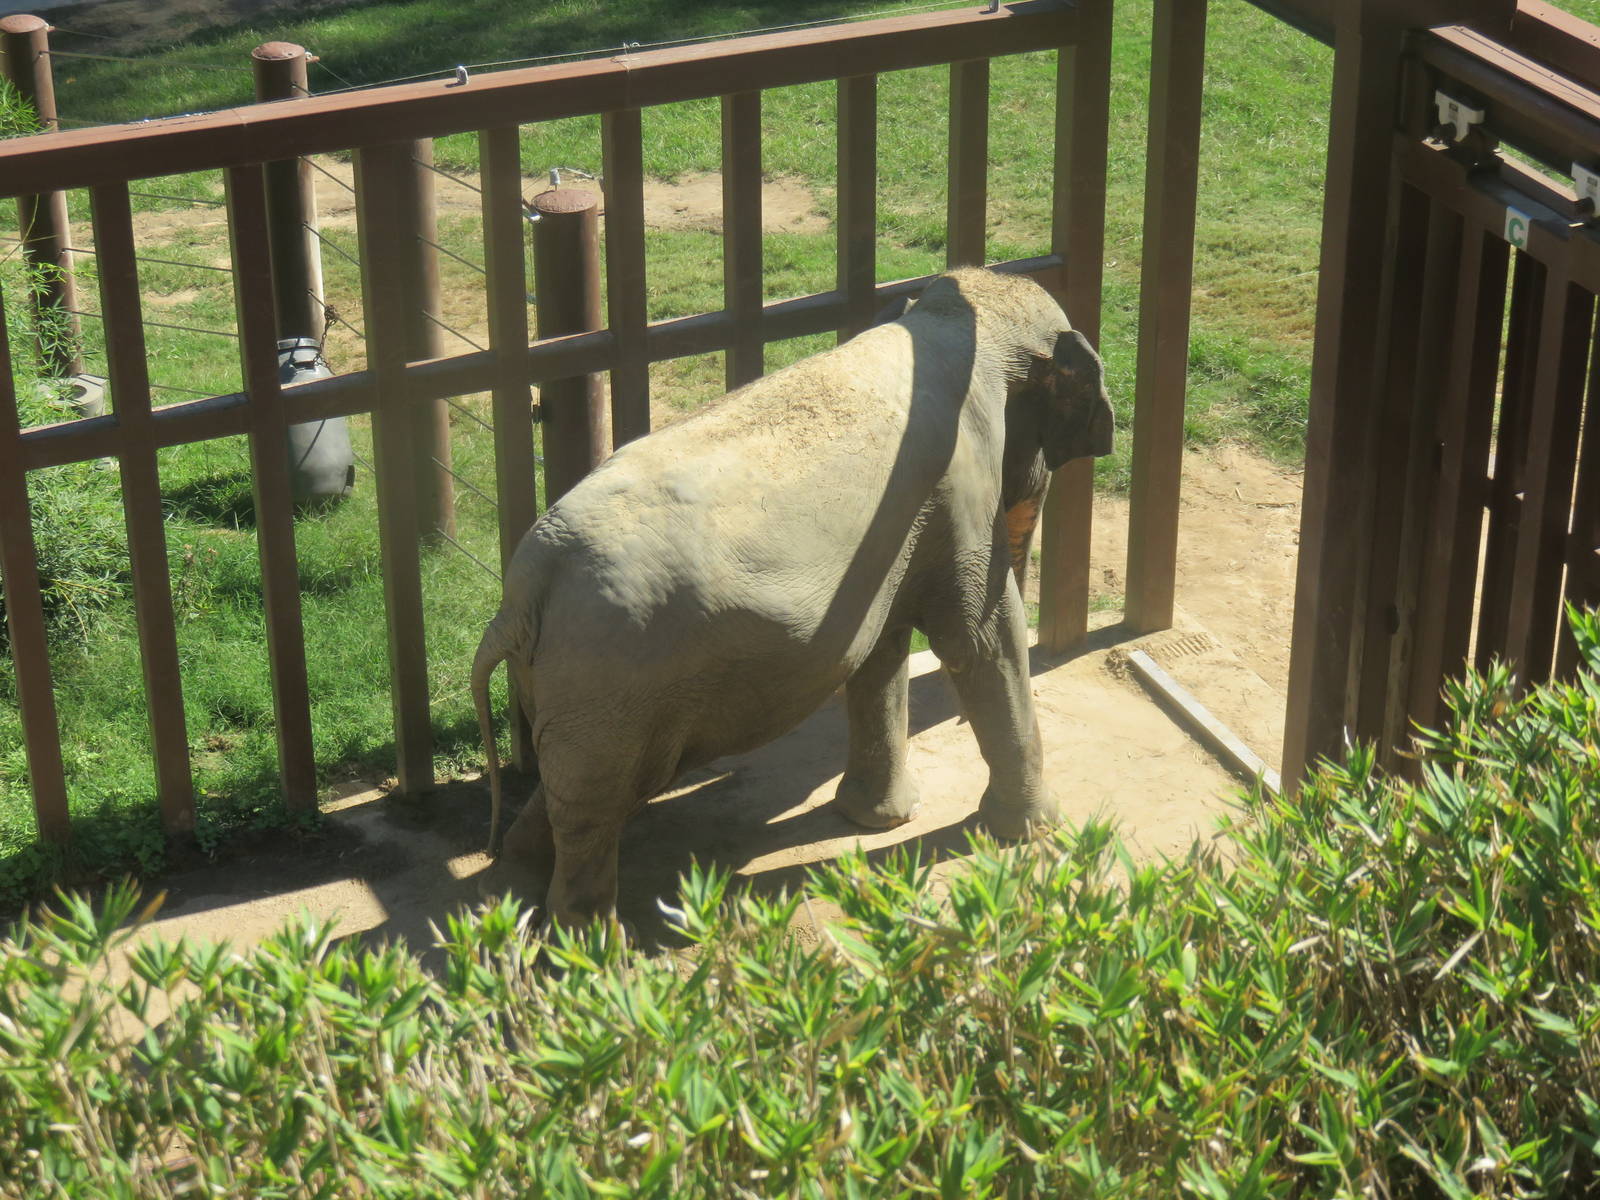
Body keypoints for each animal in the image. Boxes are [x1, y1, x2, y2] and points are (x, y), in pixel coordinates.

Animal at [471, 267, 1113, 926]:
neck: (950, 321)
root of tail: (523, 595)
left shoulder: (898, 538)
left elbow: (881, 649)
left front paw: (876, 819)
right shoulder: (959, 493)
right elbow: (979, 638)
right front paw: (1032, 832)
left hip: (577, 694)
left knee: (571, 793)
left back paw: (517, 875)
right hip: (610, 685)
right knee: (597, 809)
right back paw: (591, 943)